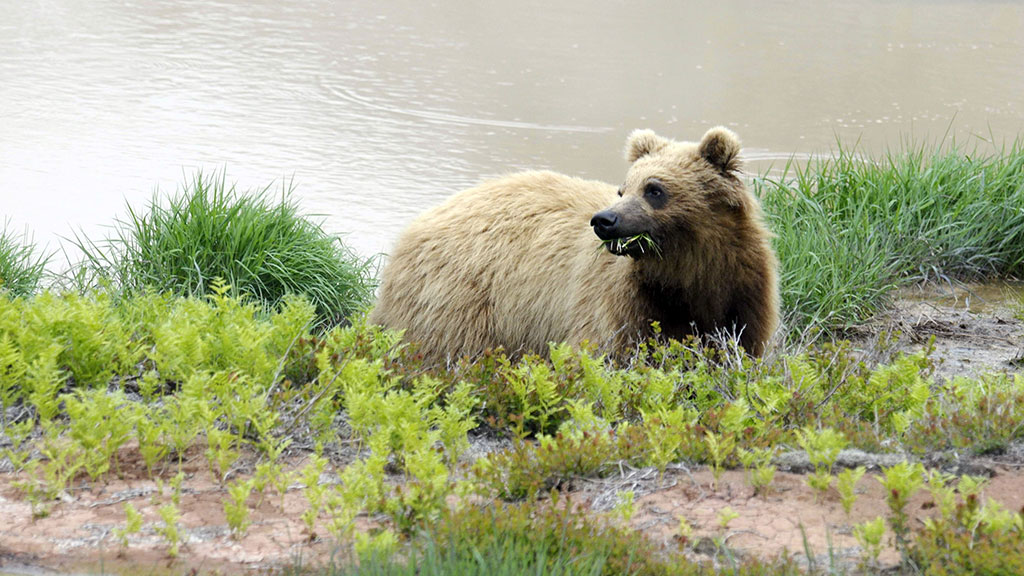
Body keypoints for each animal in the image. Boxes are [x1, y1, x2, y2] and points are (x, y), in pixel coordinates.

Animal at [372, 126, 778, 358]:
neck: (687, 273)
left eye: (654, 189)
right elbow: (605, 351)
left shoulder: (742, 293)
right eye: (623, 187)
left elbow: (738, 346)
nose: (605, 220)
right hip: (460, 298)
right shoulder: (620, 303)